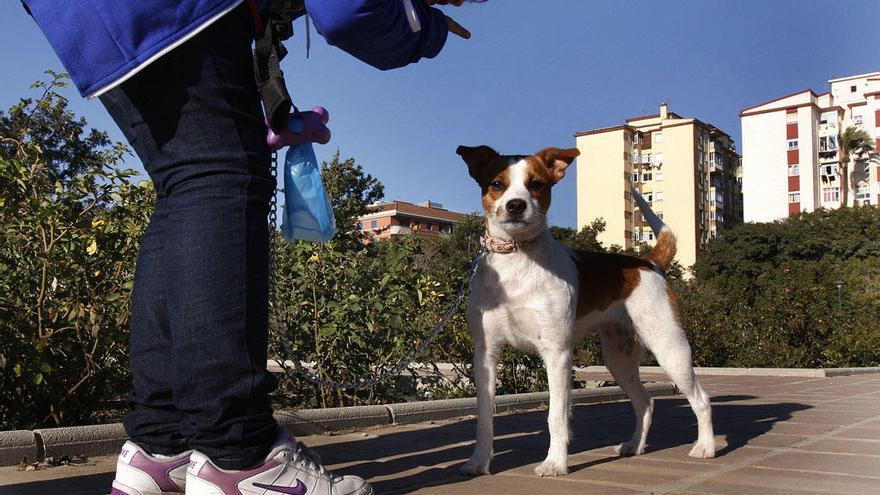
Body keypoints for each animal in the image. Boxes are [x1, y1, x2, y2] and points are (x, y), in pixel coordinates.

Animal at [454, 145, 716, 478]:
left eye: (536, 184)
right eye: (497, 184)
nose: (515, 205)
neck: (516, 262)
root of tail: (649, 263)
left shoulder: (557, 353)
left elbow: (556, 416)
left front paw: (555, 463)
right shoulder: (485, 354)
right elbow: (485, 416)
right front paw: (479, 461)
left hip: (670, 348)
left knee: (701, 399)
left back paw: (706, 447)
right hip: (618, 358)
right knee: (645, 403)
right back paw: (634, 446)